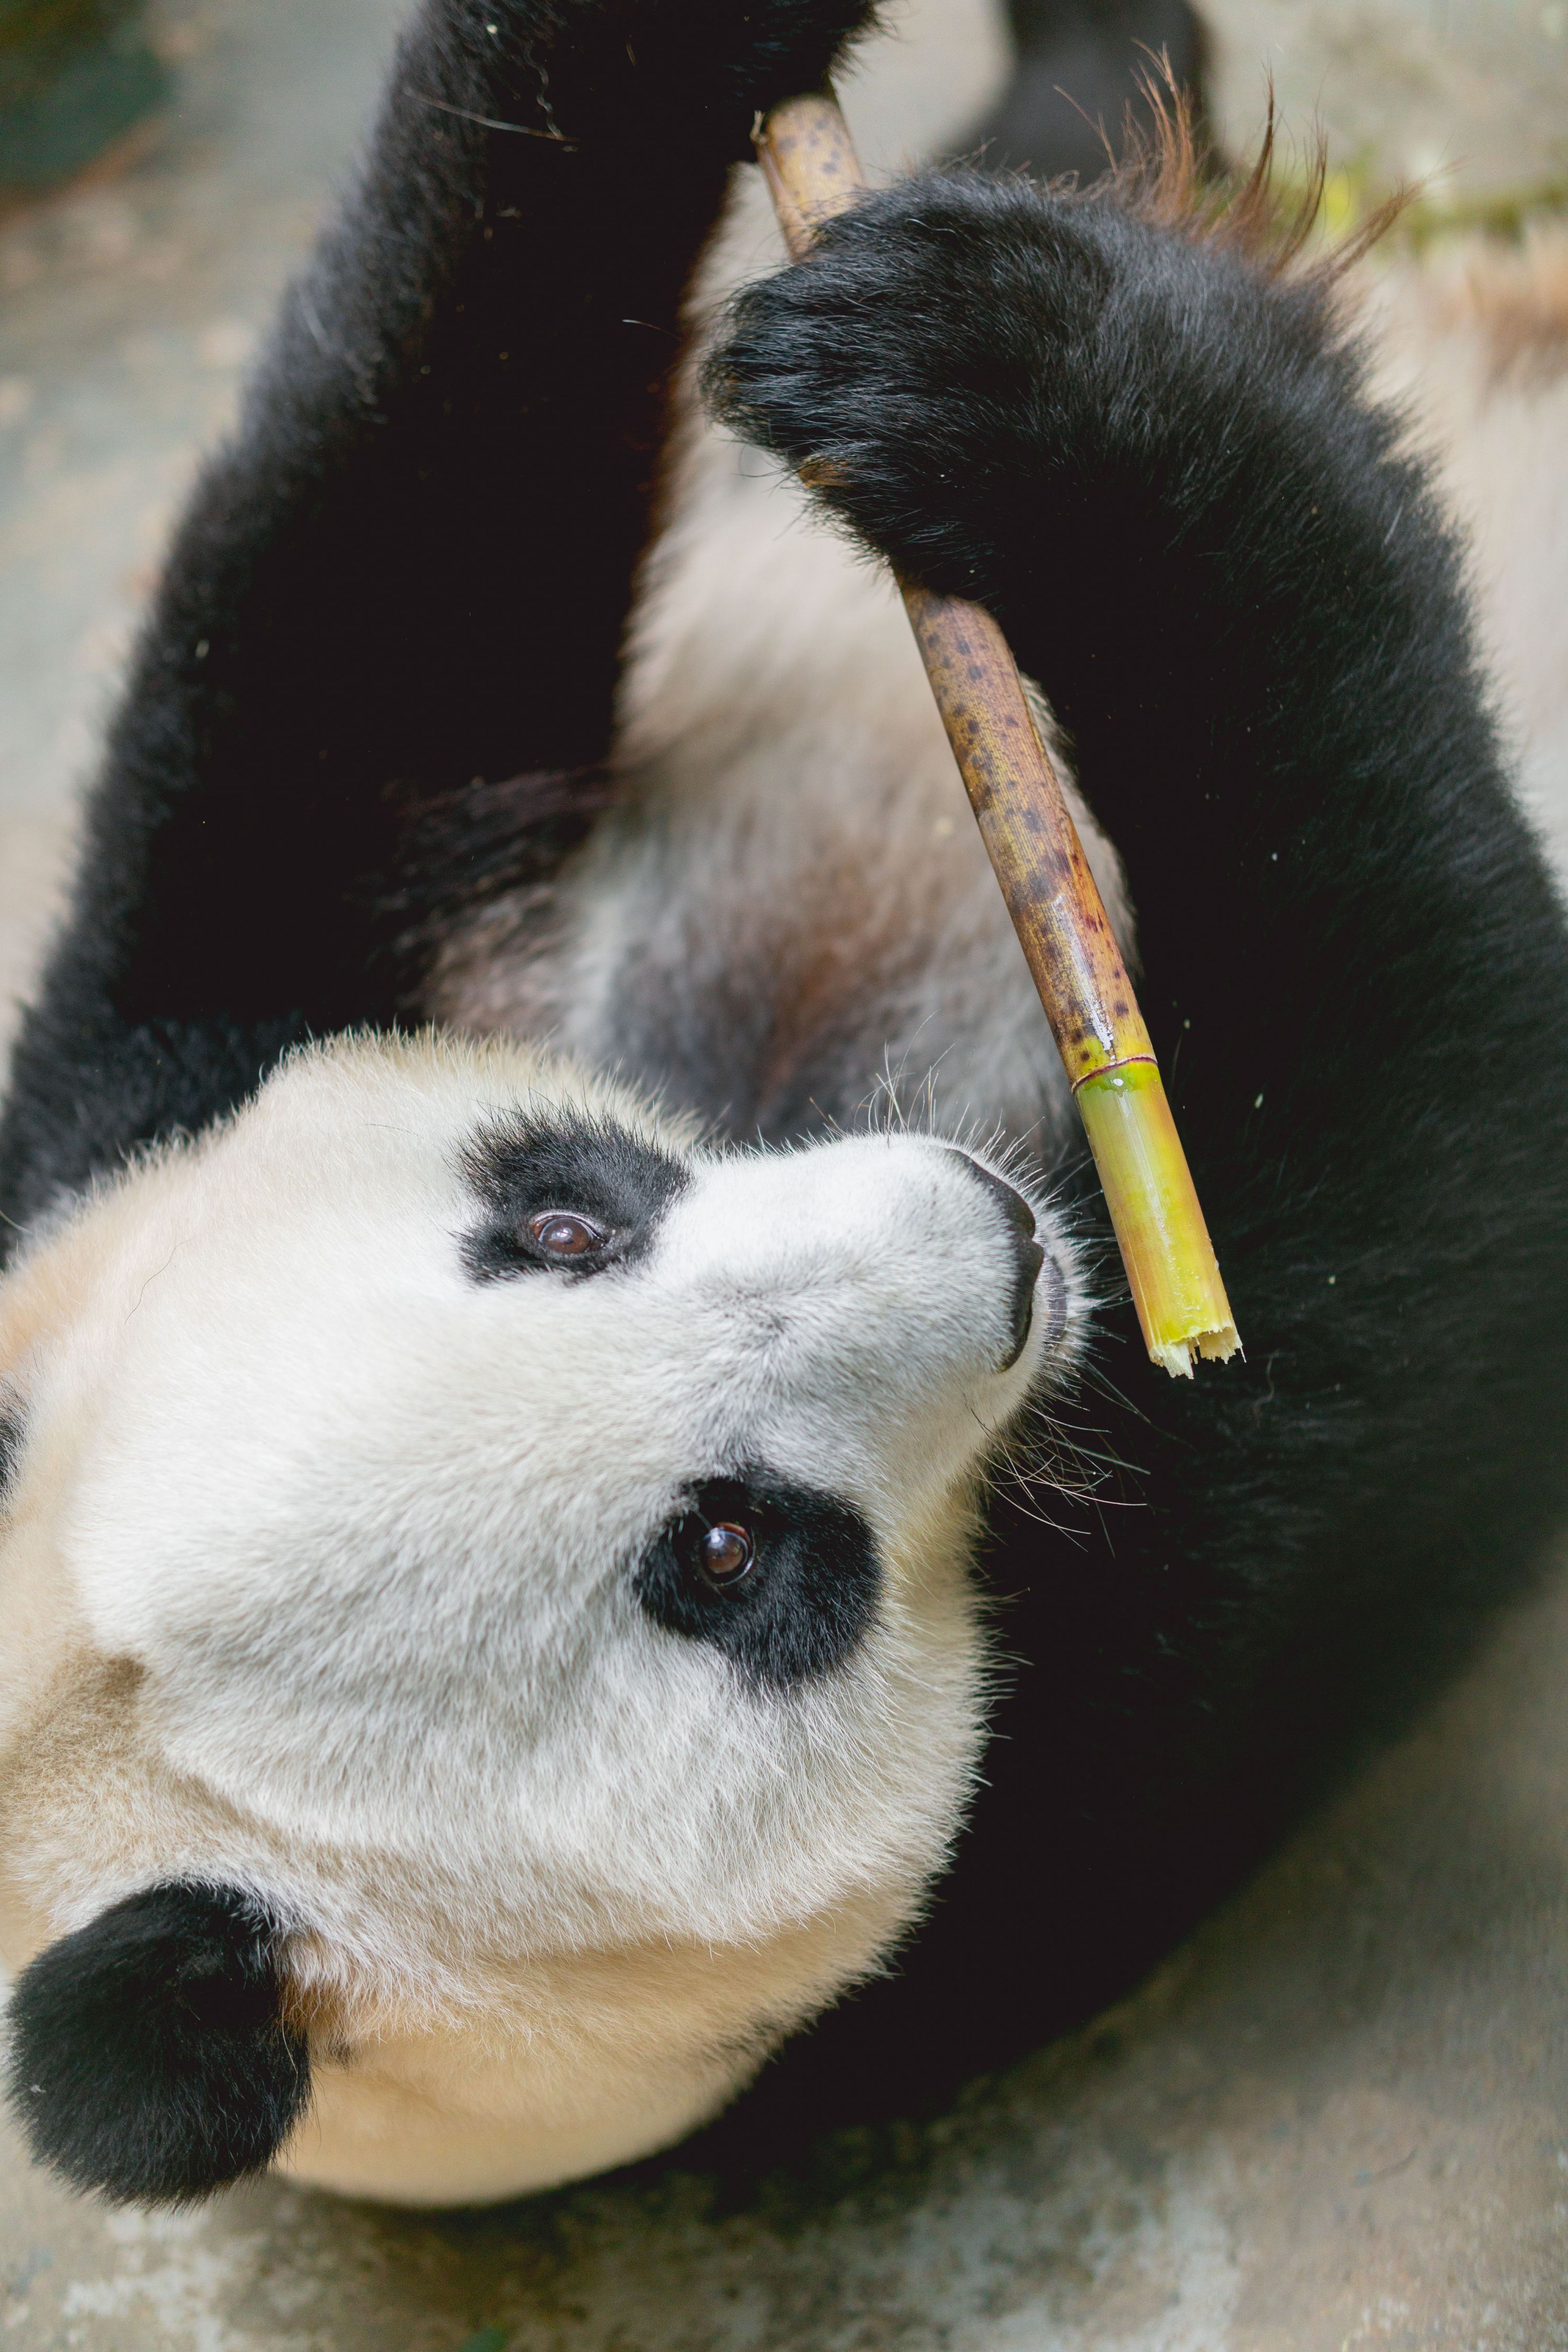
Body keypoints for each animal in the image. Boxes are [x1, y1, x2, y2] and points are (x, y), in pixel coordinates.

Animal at [3, 0, 1568, 2220]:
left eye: (563, 1220)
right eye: (729, 1556)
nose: (983, 1226)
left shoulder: (145, 1072)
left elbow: (395, 526)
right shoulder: (1028, 1829)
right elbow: (1437, 1177)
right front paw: (1106, 424)